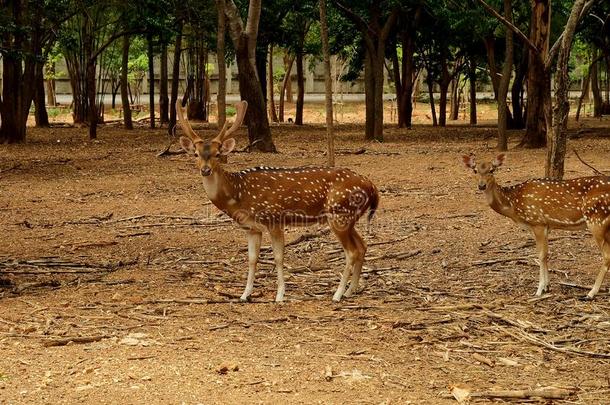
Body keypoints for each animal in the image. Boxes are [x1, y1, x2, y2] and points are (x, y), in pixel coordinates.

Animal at [173, 101, 378, 302]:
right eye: (196, 154)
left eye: (217, 153)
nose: (205, 170)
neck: (239, 195)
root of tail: (371, 186)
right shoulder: (251, 228)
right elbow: (252, 258)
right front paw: (245, 295)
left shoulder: (274, 219)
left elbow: (278, 257)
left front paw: (280, 295)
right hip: (348, 219)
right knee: (362, 246)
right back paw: (350, 291)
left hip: (339, 215)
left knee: (351, 251)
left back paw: (338, 294)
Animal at [464, 153, 604, 298]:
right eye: (475, 170)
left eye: (492, 170)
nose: (481, 185)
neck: (513, 204)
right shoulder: (546, 226)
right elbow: (546, 254)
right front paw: (547, 287)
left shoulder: (537, 222)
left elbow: (541, 255)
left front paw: (539, 290)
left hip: (597, 221)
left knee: (606, 256)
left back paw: (591, 292)